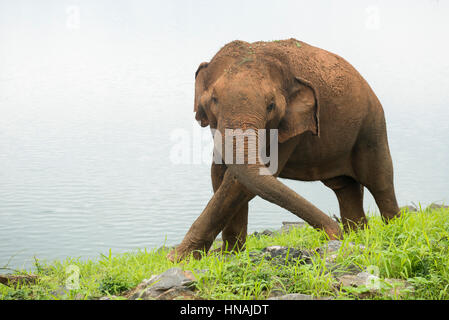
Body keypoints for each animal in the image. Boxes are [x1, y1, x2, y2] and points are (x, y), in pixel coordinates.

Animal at [167, 38, 400, 262]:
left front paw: (178, 258)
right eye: (214, 100)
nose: (334, 233)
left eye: (271, 105)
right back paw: (359, 235)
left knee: (380, 182)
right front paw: (227, 254)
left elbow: (249, 178)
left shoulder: (290, 128)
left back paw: (391, 231)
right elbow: (221, 173)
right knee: (346, 187)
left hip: (372, 127)